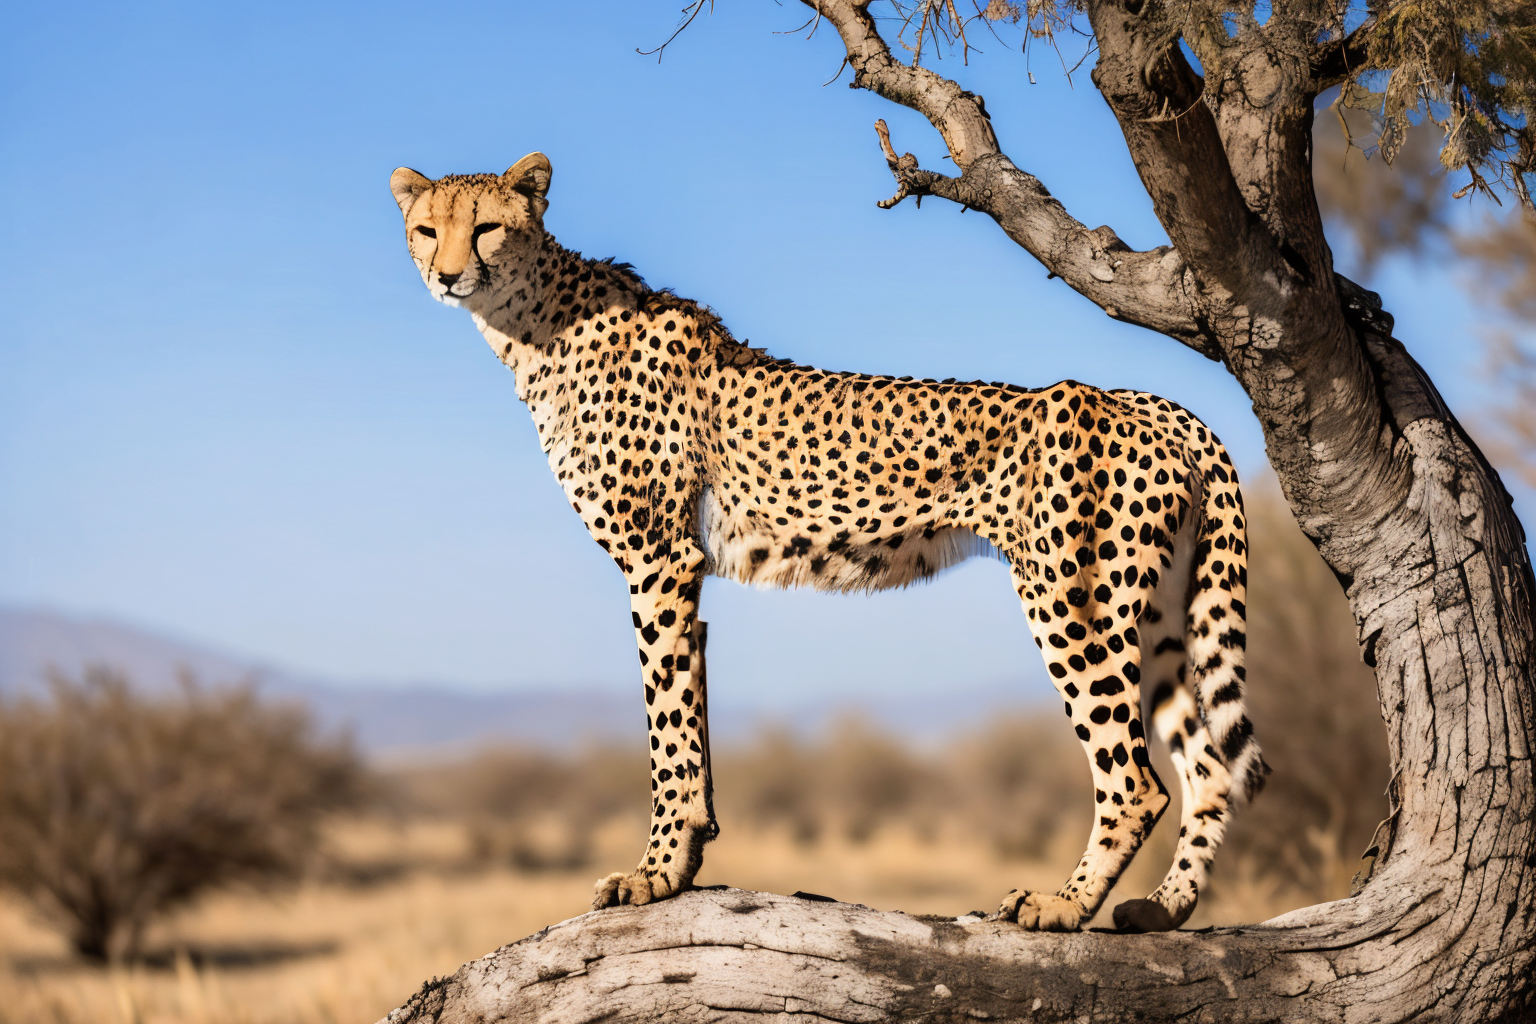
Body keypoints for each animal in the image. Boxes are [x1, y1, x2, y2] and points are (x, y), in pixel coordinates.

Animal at [389, 153, 1268, 933]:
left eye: (489, 227)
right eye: (428, 229)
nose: (447, 276)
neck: (535, 322)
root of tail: (1148, 402)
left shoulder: (657, 560)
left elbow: (665, 727)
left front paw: (654, 875)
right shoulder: (685, 573)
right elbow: (691, 717)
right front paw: (687, 860)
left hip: (1074, 600)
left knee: (1136, 780)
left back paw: (1063, 906)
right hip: (1159, 613)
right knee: (1207, 768)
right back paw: (1162, 909)